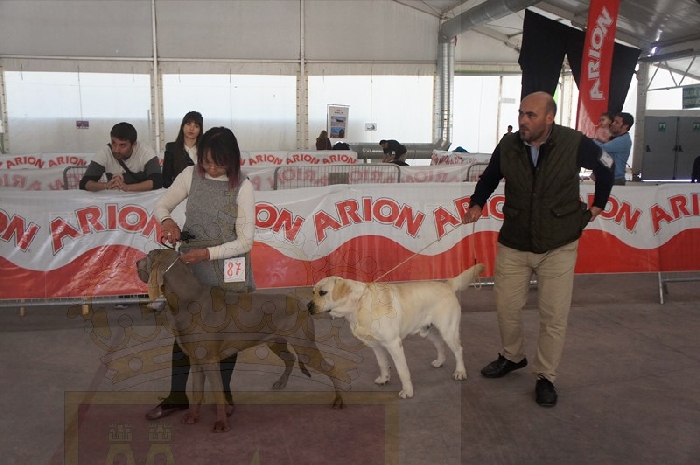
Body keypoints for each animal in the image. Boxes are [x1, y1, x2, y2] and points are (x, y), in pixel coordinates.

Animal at [137, 249, 346, 433]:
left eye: (148, 255)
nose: (135, 263)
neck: (188, 299)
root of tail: (303, 305)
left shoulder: (210, 361)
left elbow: (218, 394)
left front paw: (221, 424)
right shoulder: (196, 360)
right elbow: (197, 391)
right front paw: (192, 417)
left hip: (304, 346)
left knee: (332, 368)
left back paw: (339, 401)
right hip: (276, 341)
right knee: (290, 359)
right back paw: (281, 383)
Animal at [308, 263, 484, 399]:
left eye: (323, 292)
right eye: (313, 292)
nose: (308, 306)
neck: (358, 304)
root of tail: (447, 284)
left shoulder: (394, 344)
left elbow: (402, 371)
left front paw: (408, 391)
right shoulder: (376, 346)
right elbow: (383, 364)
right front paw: (384, 378)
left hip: (448, 331)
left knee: (458, 349)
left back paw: (460, 372)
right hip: (429, 331)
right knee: (440, 344)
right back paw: (439, 361)